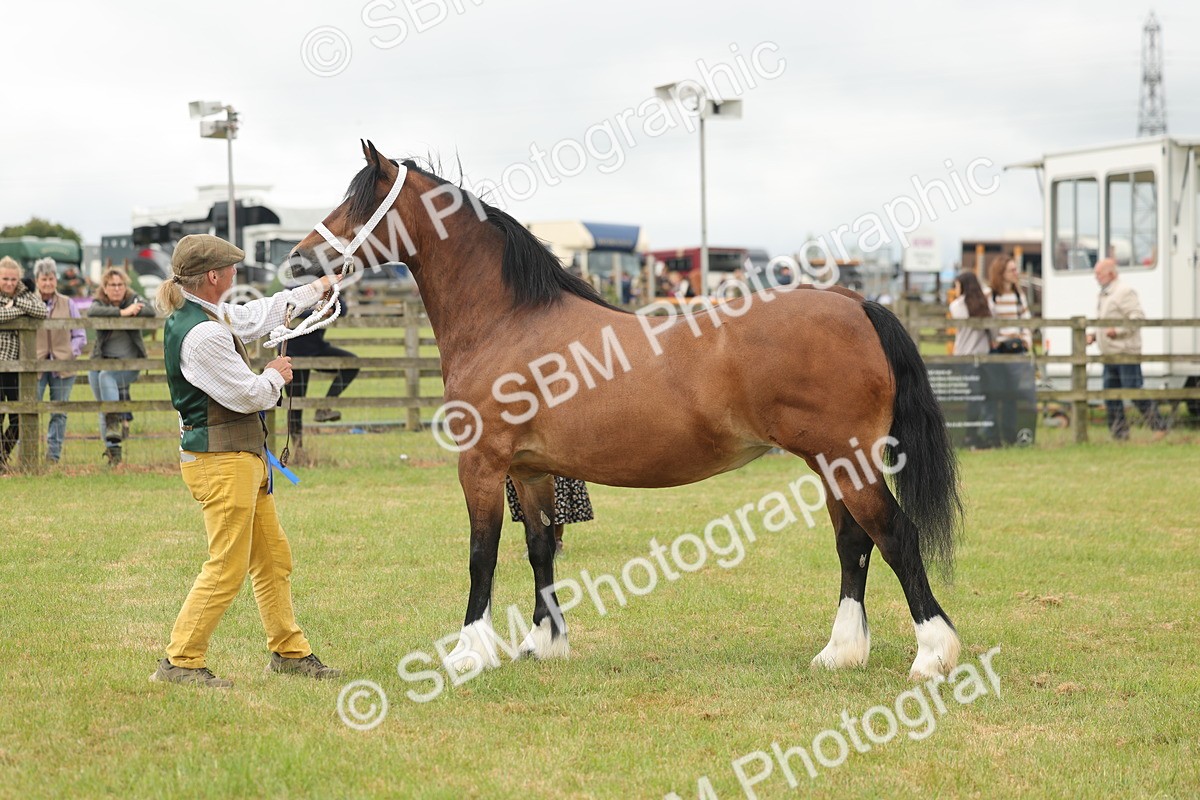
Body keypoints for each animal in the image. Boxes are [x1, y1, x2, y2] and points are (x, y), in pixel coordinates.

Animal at [289, 141, 964, 681]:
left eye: (358, 203)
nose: (296, 260)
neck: (508, 321)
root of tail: (854, 302)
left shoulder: (480, 464)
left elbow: (483, 555)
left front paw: (467, 654)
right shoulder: (531, 470)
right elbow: (540, 549)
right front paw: (543, 644)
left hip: (847, 461)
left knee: (895, 536)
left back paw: (932, 655)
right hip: (833, 466)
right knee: (854, 543)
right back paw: (841, 652)